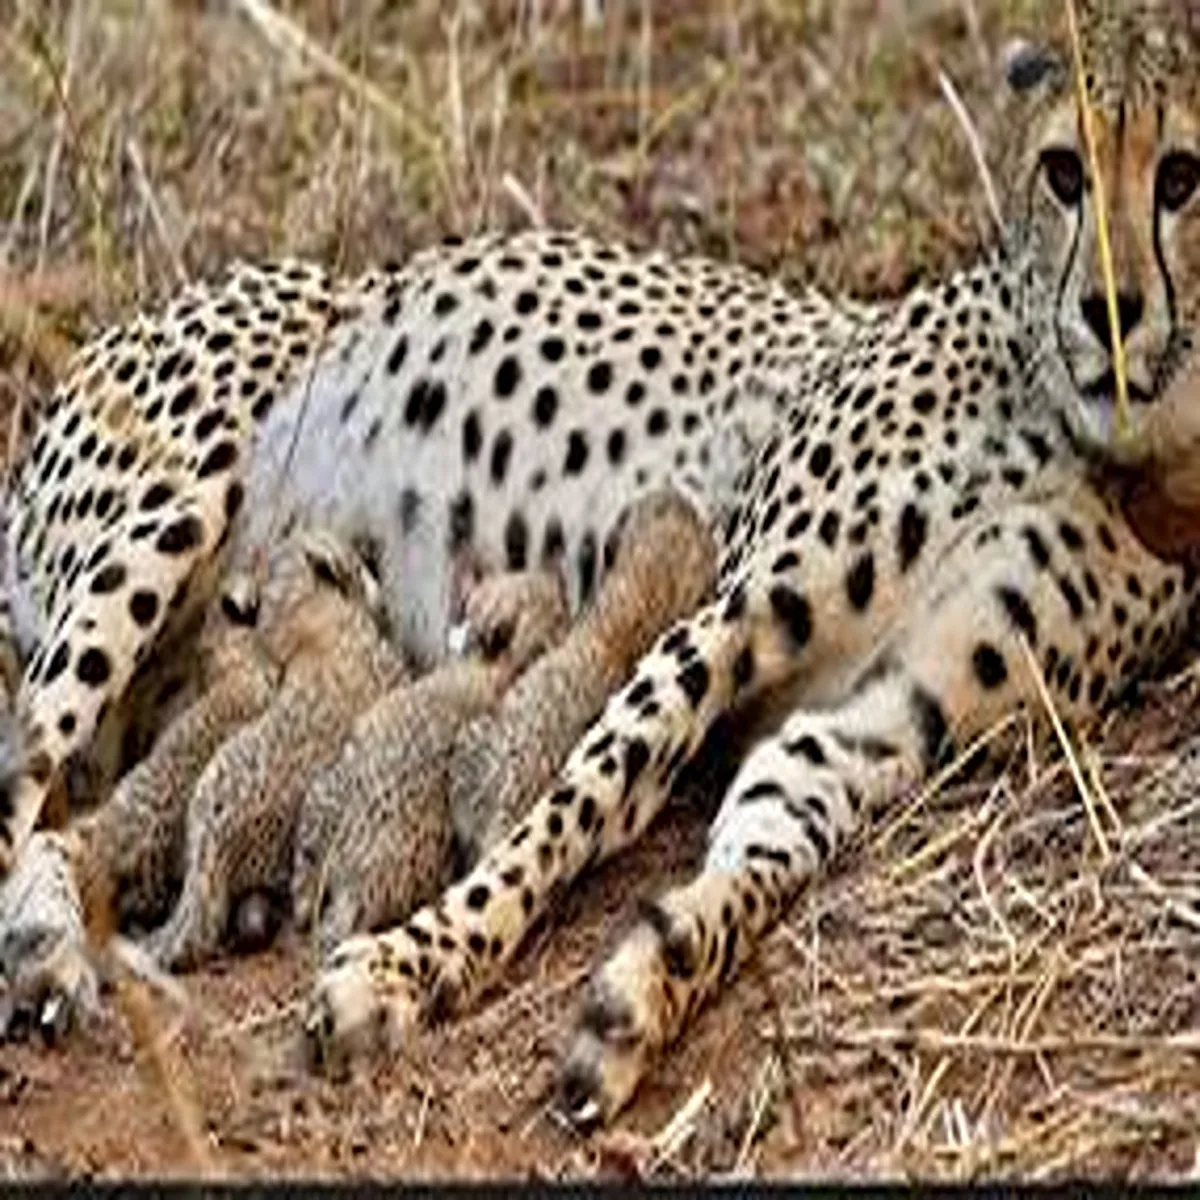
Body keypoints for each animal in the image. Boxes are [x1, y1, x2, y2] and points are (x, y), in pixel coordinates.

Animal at [0, 0, 1198, 1133]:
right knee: (22, 788)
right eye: (1065, 171)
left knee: (66, 828)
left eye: (1181, 176)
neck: (1118, 450)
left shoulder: (879, 719)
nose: (1111, 311)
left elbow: (758, 852)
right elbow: (576, 804)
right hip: (163, 521)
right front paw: (415, 965)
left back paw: (53, 948)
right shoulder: (722, 616)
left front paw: (641, 995)